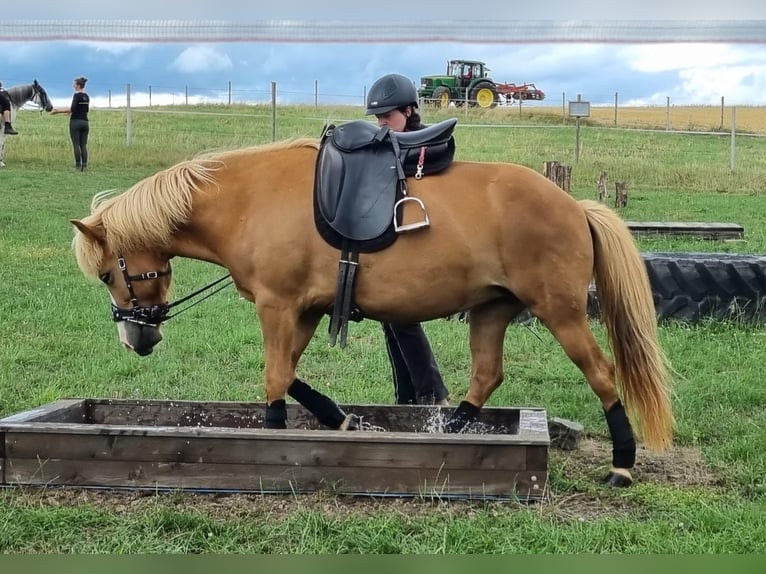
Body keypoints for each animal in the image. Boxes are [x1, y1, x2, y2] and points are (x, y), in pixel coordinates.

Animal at [69, 133, 676, 488]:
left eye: (109, 274)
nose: (136, 339)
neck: (246, 202)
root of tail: (573, 204)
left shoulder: (278, 306)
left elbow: (274, 376)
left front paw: (272, 435)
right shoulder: (305, 310)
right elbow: (290, 374)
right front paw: (339, 418)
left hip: (560, 311)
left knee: (601, 374)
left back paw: (623, 462)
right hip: (492, 310)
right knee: (487, 374)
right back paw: (452, 428)